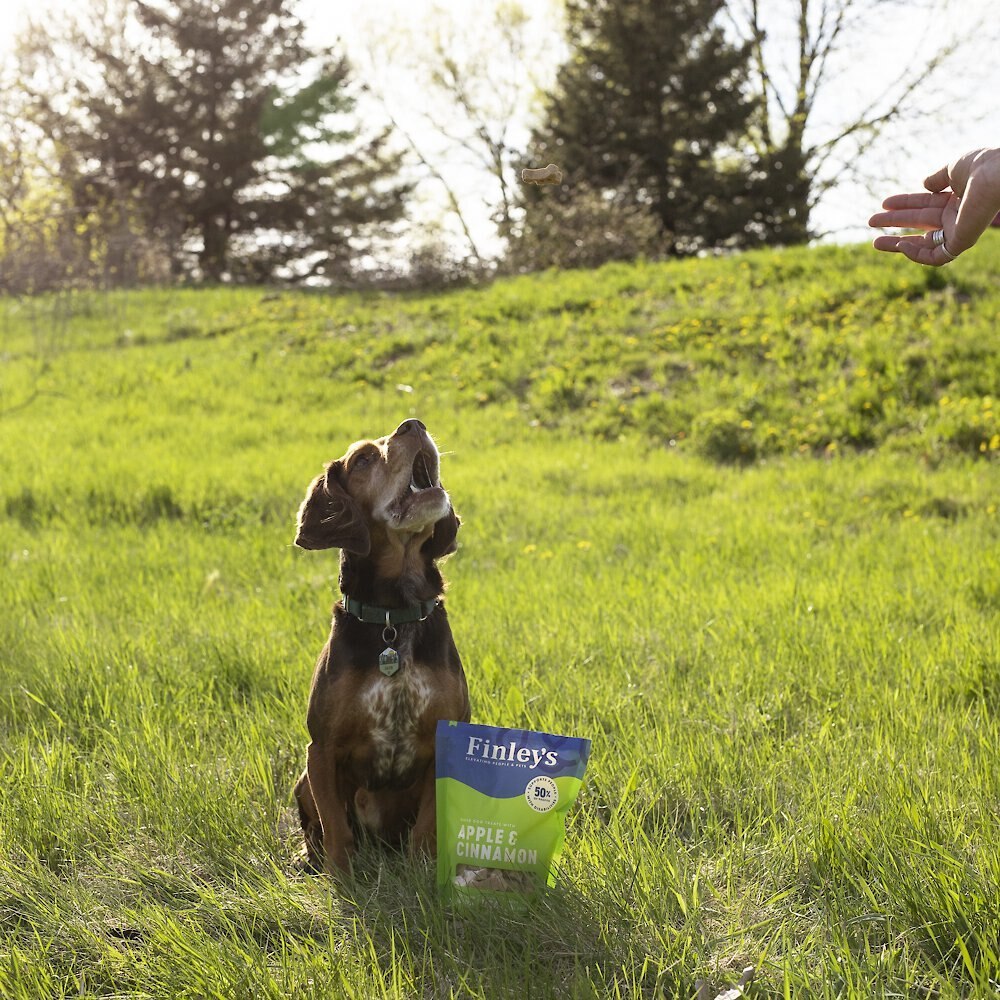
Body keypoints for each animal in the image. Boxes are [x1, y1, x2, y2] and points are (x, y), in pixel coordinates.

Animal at [290, 418, 468, 872]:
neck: (393, 618)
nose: (414, 424)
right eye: (364, 460)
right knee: (314, 828)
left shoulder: (443, 748)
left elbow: (426, 826)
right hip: (303, 778)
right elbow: (335, 827)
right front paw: (341, 877)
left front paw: (422, 871)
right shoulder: (321, 751)